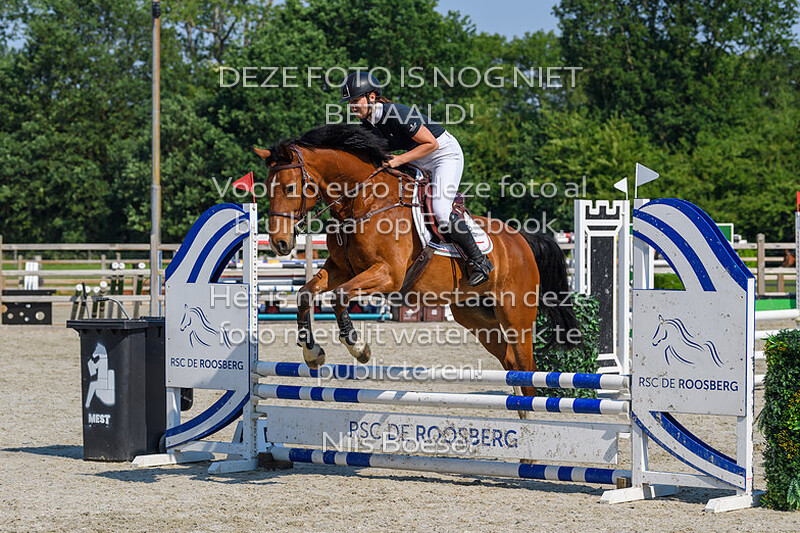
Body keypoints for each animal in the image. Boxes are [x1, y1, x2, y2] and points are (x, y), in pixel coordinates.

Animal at [253, 124, 580, 398]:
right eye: (267, 187)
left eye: (290, 188)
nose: (280, 243)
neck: (363, 202)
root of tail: (521, 239)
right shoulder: (340, 269)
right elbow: (305, 293)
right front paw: (312, 352)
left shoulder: (387, 275)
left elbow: (340, 296)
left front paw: (359, 348)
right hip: (475, 315)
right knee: (511, 363)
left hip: (516, 315)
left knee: (527, 367)